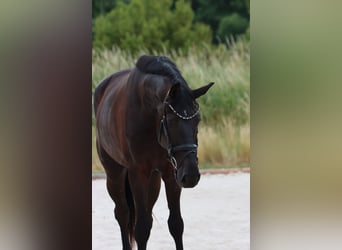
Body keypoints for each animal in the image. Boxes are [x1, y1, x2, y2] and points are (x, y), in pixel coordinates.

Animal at [93, 55, 214, 250]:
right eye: (171, 120)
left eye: (197, 120)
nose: (191, 176)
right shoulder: (138, 173)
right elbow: (141, 228)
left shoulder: (172, 173)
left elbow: (176, 223)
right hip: (114, 173)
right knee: (123, 213)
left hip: (154, 179)